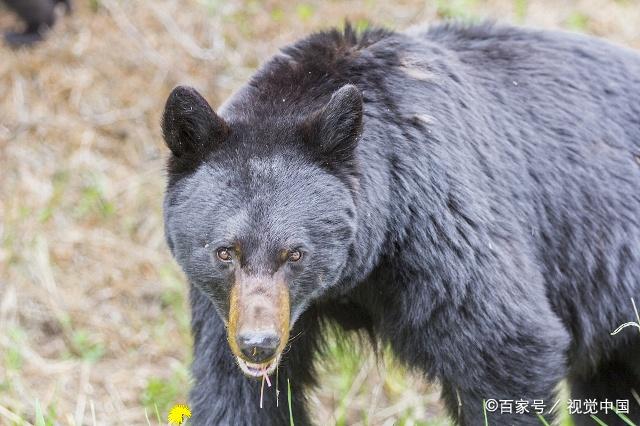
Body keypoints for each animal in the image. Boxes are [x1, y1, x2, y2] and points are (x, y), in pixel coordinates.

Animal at [162, 24, 640, 426]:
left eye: (295, 253)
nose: (257, 343)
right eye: (225, 251)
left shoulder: (440, 227)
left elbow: (505, 347)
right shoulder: (223, 307)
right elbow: (235, 392)